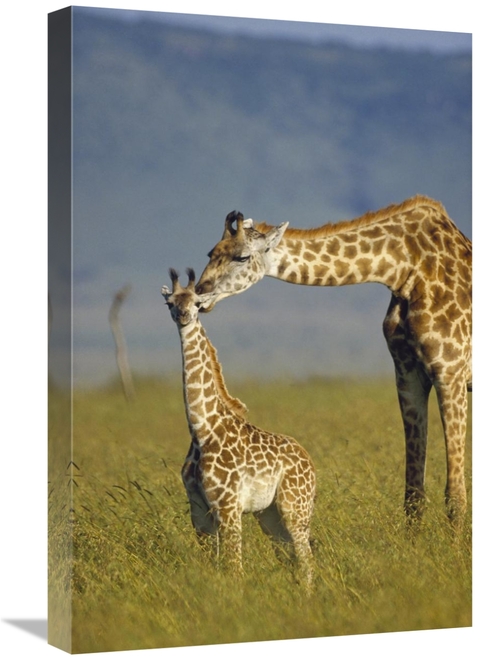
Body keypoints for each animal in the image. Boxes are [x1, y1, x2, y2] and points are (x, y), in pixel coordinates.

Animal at [162, 268, 316, 587]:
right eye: (169, 303)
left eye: (197, 303)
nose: (183, 315)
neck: (202, 429)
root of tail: (309, 461)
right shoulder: (199, 509)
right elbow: (215, 566)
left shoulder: (228, 506)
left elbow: (235, 568)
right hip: (269, 514)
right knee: (291, 559)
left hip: (295, 506)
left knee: (307, 561)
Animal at [195, 195, 472, 528]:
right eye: (210, 253)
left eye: (242, 257)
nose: (199, 293)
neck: (403, 270)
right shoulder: (407, 374)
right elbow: (413, 493)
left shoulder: (450, 370)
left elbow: (455, 495)